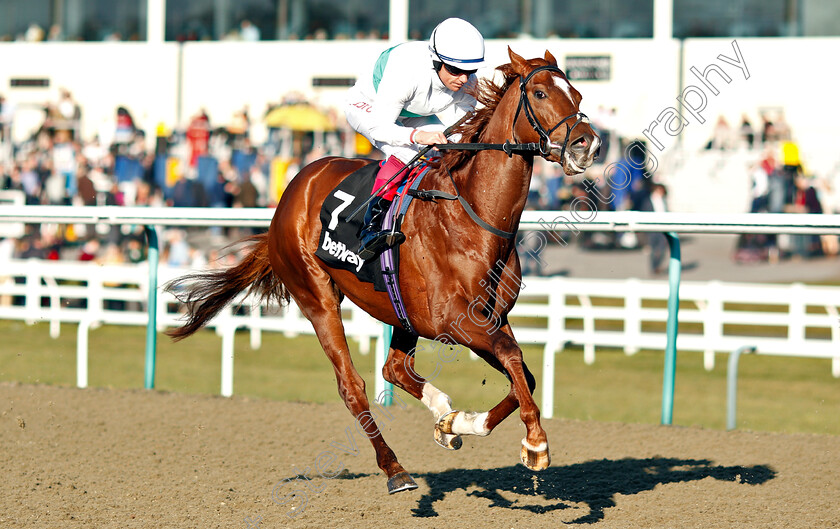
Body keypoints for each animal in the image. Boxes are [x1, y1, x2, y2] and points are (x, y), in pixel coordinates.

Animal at [166, 47, 596, 492]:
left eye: (578, 94)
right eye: (541, 93)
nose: (588, 143)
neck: (474, 216)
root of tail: (291, 193)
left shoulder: (488, 317)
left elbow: (522, 374)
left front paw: (457, 423)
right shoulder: (454, 320)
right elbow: (513, 358)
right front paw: (535, 444)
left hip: (400, 310)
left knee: (395, 368)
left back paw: (442, 412)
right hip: (317, 296)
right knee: (352, 386)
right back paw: (394, 469)